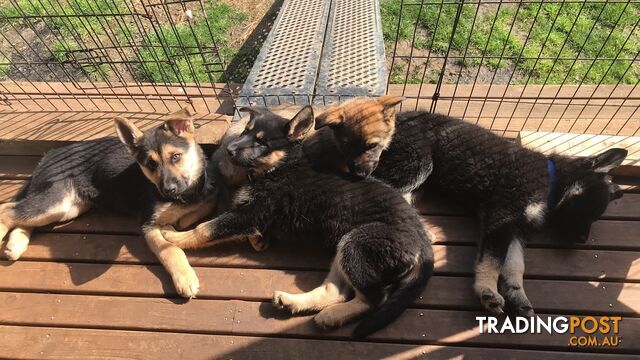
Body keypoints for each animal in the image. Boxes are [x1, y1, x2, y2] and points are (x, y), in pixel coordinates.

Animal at [159, 105, 436, 338]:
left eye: (262, 141)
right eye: (246, 131)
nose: (228, 150)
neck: (277, 168)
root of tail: (424, 245)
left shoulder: (251, 213)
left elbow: (206, 228)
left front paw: (172, 237)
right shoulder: (251, 214)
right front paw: (258, 239)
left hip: (358, 241)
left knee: (375, 298)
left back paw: (334, 315)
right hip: (344, 246)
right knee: (336, 291)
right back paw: (297, 304)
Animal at [318, 97, 628, 316]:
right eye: (588, 209)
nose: (582, 240)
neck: (550, 180)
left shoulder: (516, 230)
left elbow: (515, 266)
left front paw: (517, 296)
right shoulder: (501, 218)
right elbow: (491, 262)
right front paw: (487, 292)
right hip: (417, 165)